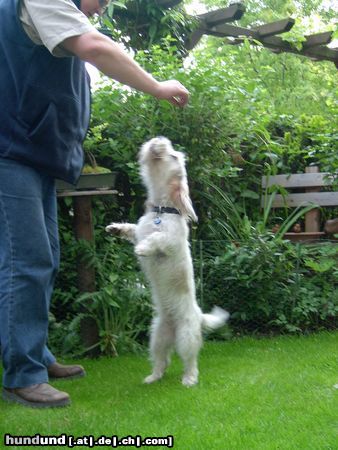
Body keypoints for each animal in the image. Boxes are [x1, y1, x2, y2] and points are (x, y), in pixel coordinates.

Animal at [104, 137, 228, 386]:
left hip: (186, 336)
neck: (161, 211)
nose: (159, 140)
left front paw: (142, 249)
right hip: (157, 337)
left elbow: (157, 239)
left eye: (172, 156)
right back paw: (153, 377)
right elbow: (132, 230)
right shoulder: (140, 230)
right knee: (162, 360)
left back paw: (189, 379)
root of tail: (198, 316)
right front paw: (115, 229)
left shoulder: (170, 241)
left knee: (190, 361)